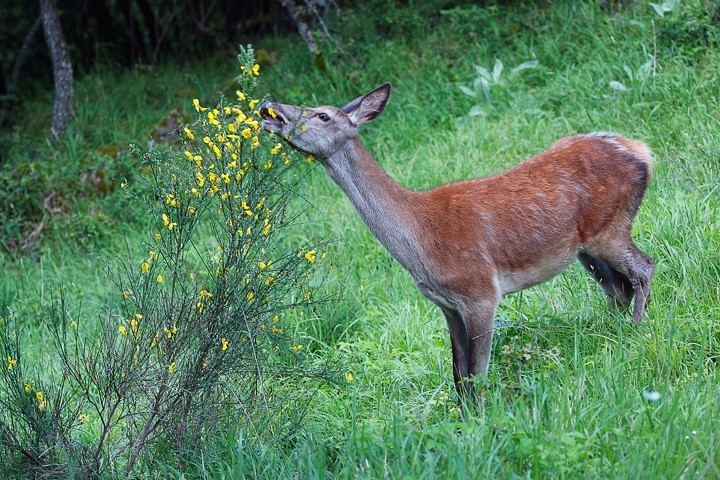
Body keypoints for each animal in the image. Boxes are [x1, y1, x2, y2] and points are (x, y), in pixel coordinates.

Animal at [260, 84, 660, 400]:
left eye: (323, 115)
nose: (269, 108)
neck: (420, 242)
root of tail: (641, 150)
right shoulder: (447, 305)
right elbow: (458, 375)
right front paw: (462, 421)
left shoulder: (481, 291)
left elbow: (477, 374)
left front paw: (481, 423)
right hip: (584, 248)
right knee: (618, 288)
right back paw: (615, 336)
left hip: (609, 227)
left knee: (644, 267)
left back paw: (636, 335)